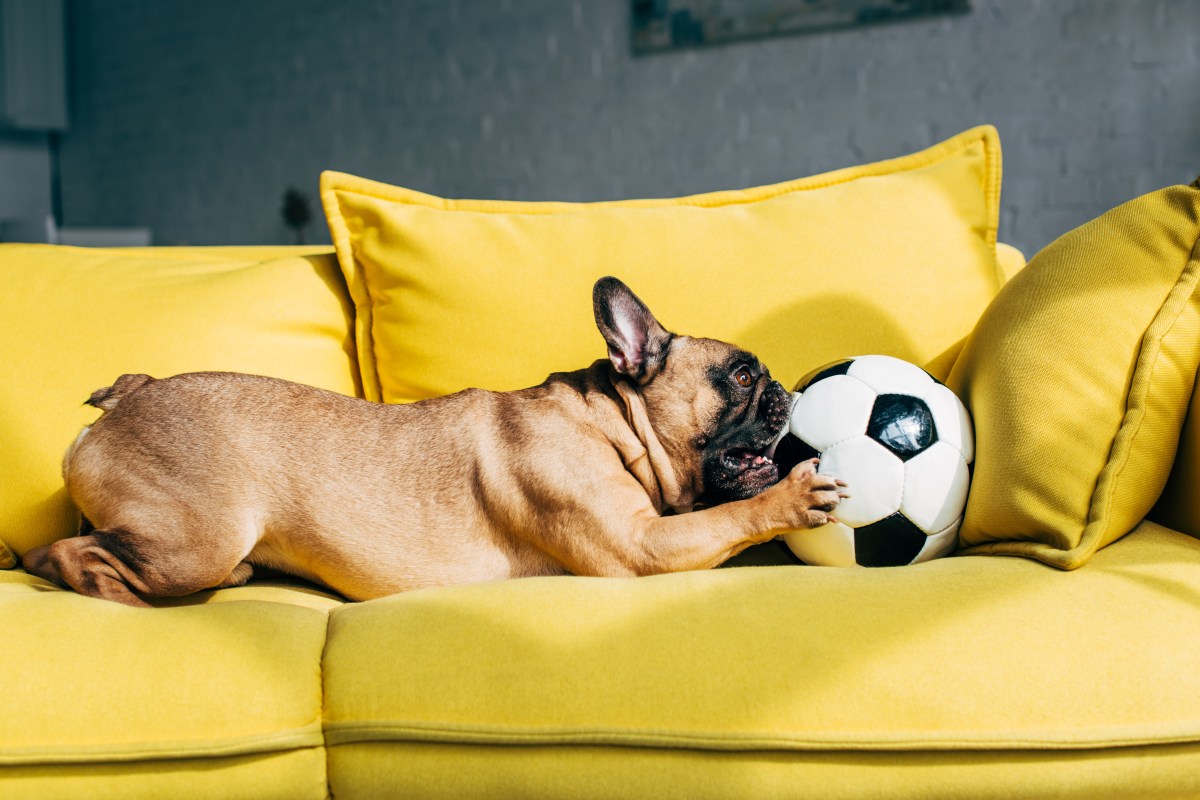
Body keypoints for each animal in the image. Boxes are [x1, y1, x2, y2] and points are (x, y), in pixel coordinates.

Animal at [21, 277, 844, 606]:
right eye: (743, 376)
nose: (787, 390)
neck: (609, 420)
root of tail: (132, 393)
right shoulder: (640, 549)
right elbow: (732, 514)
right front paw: (793, 495)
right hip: (198, 539)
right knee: (71, 554)